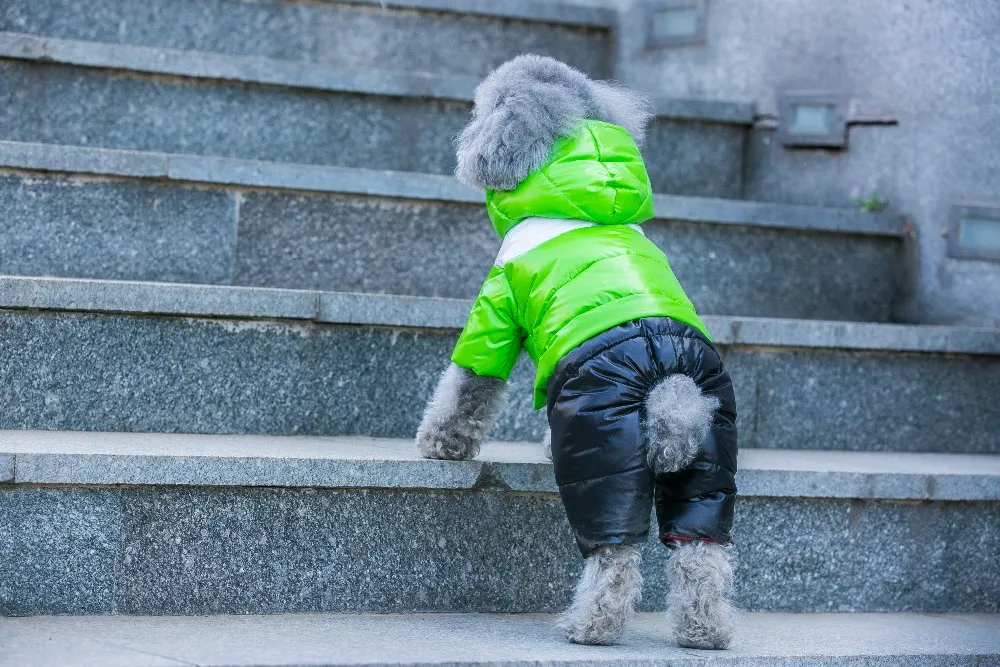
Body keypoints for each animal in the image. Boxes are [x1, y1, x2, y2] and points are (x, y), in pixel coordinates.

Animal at [412, 54, 736, 648]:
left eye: (484, 105)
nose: (466, 134)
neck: (584, 178)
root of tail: (668, 383)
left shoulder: (498, 304)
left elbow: (470, 383)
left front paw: (440, 445)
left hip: (600, 447)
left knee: (614, 555)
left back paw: (590, 626)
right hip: (710, 451)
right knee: (701, 554)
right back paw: (704, 630)